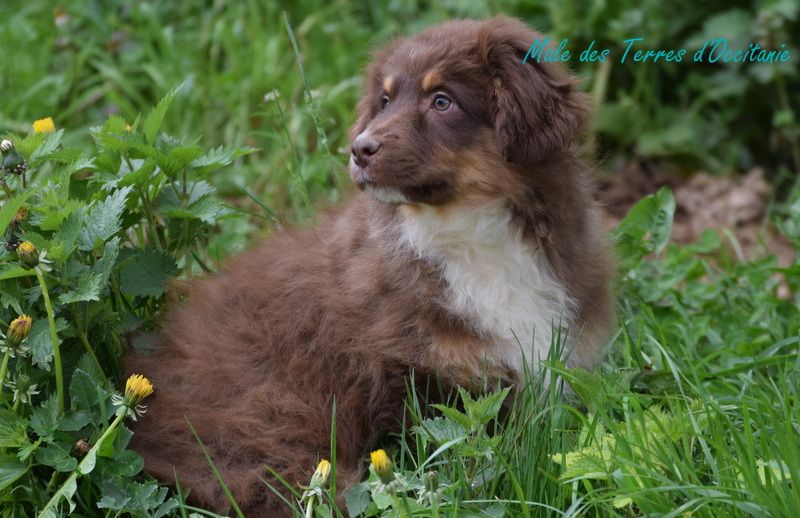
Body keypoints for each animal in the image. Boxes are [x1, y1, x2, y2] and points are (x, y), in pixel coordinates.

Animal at [126, 15, 612, 516]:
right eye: (385, 100)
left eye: (442, 101)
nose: (359, 150)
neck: (470, 231)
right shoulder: (415, 377)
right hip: (264, 418)